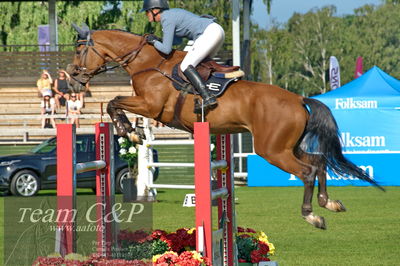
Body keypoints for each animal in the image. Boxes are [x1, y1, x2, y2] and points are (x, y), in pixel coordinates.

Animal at [68, 23, 382, 230]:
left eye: (79, 52)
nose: (72, 78)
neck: (147, 62)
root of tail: (298, 98)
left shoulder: (150, 106)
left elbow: (114, 102)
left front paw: (128, 131)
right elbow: (114, 103)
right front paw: (129, 131)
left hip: (272, 149)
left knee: (306, 171)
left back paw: (312, 215)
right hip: (287, 146)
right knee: (318, 162)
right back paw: (329, 202)